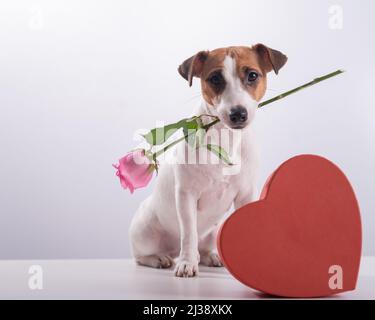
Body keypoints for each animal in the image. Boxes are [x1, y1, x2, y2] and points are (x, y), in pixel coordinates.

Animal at [129, 43, 288, 276]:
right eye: (215, 78)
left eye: (252, 75)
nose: (238, 114)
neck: (224, 138)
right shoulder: (186, 195)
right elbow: (189, 233)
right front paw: (187, 263)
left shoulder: (246, 194)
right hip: (145, 230)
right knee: (142, 255)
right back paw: (161, 258)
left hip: (213, 232)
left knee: (203, 247)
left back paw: (210, 255)